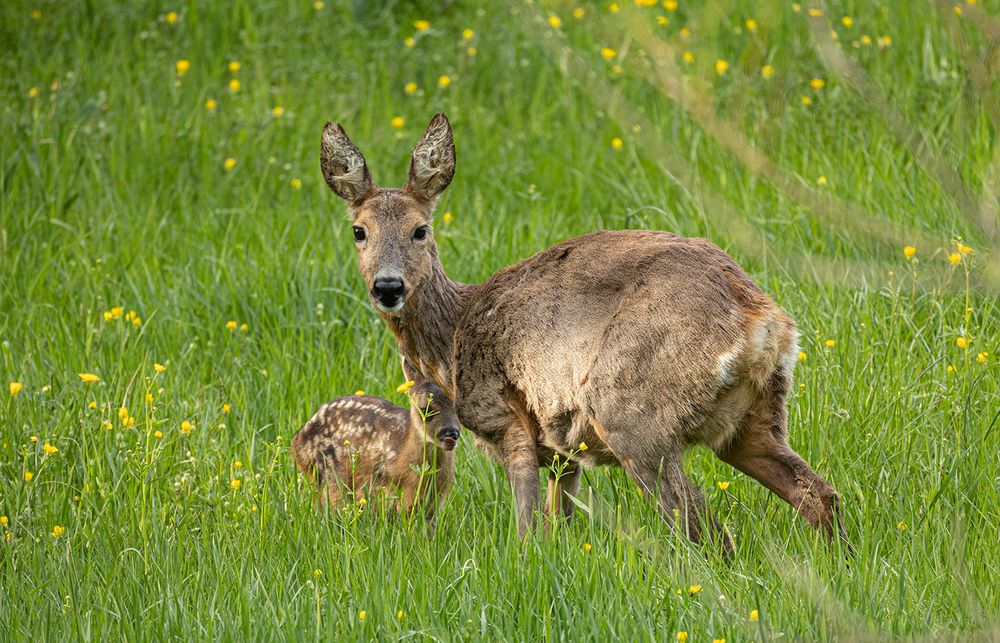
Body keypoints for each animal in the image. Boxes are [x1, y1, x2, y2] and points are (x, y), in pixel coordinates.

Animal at [292, 382, 458, 520]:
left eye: (458, 411)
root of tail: (298, 442)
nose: (451, 433)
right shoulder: (383, 486)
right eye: (425, 409)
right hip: (329, 473)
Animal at [318, 113, 844, 552]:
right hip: (756, 417)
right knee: (818, 494)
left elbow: (528, 527)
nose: (388, 286)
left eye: (420, 229)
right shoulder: (562, 448)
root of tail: (762, 321)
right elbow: (559, 524)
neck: (452, 339)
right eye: (359, 231)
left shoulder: (507, 418)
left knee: (703, 523)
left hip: (632, 411)